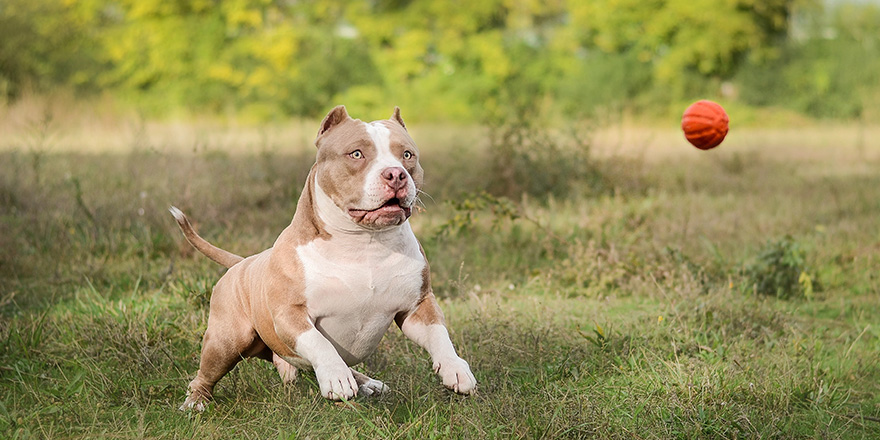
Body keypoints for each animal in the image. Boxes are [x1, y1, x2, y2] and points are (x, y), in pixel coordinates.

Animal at [169, 106, 478, 412]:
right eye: (357, 154)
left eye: (407, 155)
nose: (396, 174)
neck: (364, 244)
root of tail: (243, 261)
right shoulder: (290, 315)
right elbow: (320, 343)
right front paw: (335, 376)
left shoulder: (417, 307)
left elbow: (439, 334)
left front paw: (455, 368)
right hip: (227, 339)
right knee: (204, 375)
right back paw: (195, 402)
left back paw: (368, 383)